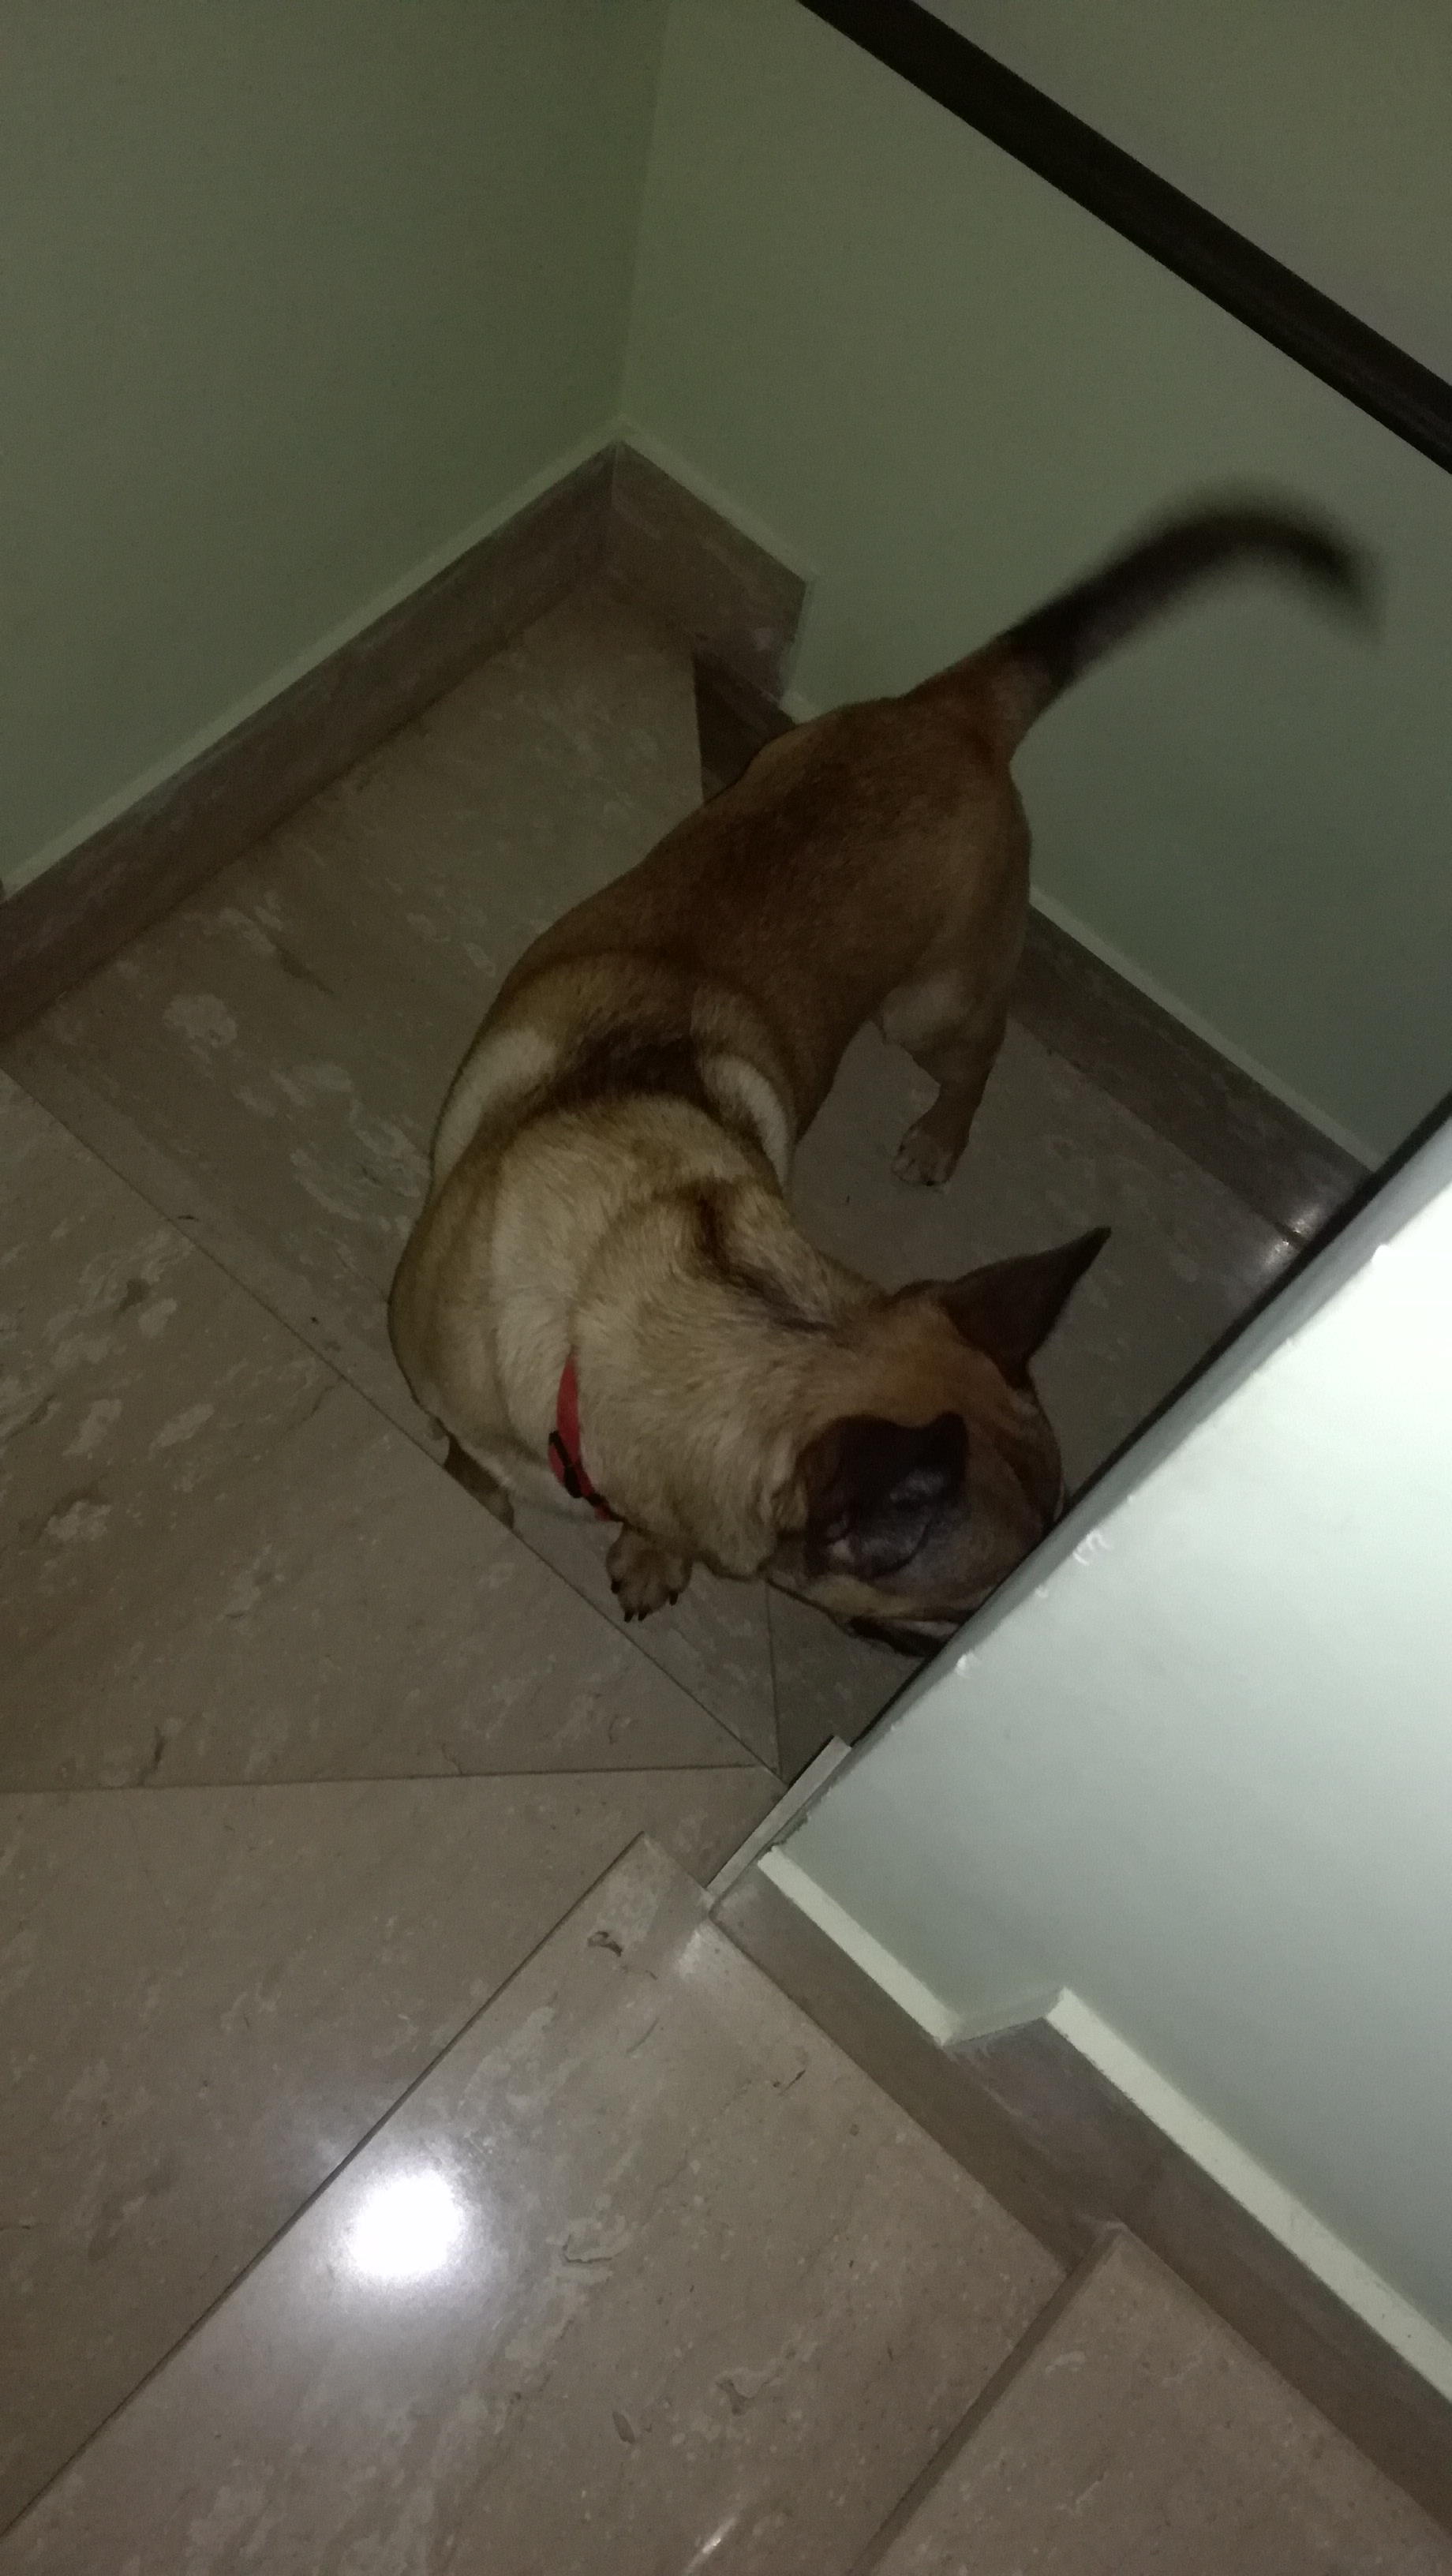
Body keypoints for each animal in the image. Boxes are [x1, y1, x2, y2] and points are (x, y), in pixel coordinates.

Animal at [389, 499, 1365, 1651]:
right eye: (953, 1611)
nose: (997, 1635)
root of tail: (950, 711)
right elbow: (476, 1468)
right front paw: (488, 1501)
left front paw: (653, 1555)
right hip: (891, 957)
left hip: (928, 1006)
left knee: (981, 1055)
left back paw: (941, 1137)